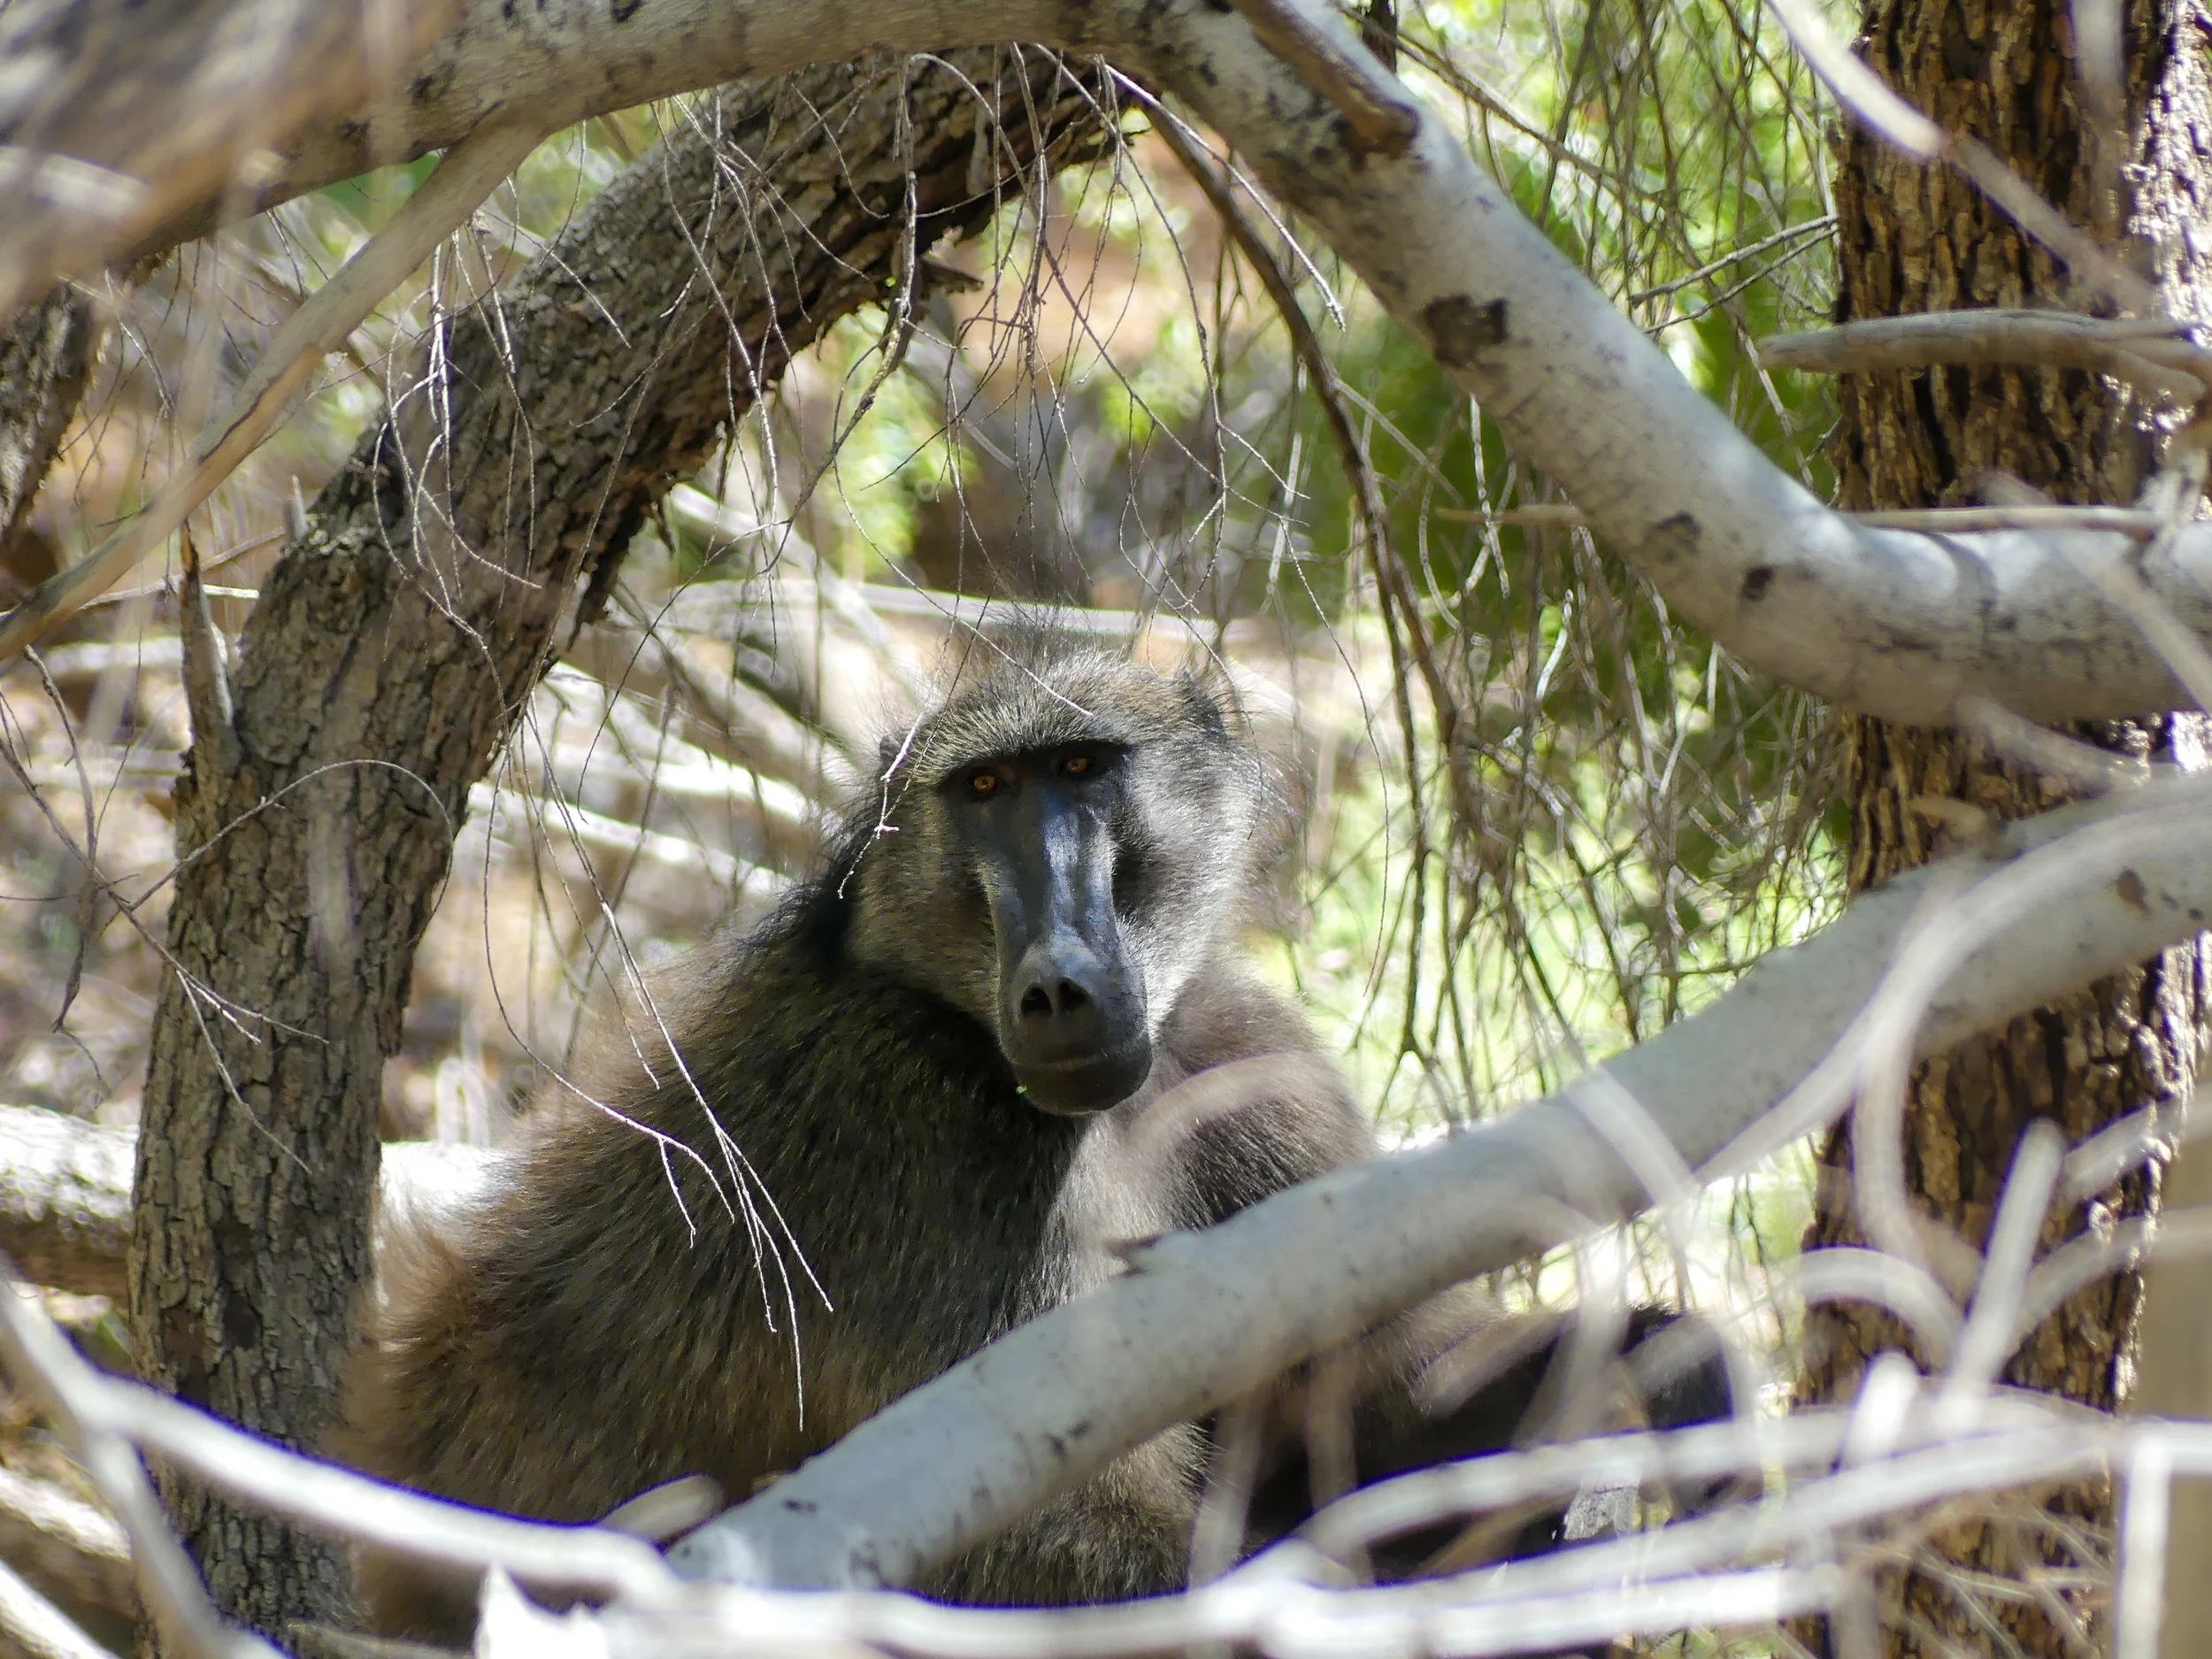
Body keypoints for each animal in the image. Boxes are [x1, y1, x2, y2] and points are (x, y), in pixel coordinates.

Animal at [337, 634, 1729, 1638]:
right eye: (984, 790)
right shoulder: (915, 1129)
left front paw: (1669, 1373)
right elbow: (1026, 1534)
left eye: (1082, 771)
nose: (1057, 984)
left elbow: (1372, 1401)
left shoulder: (1254, 1070)